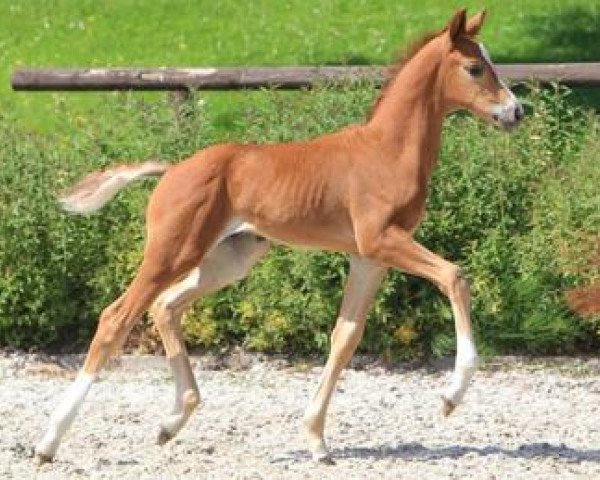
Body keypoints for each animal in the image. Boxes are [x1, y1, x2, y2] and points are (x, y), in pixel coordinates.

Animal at [38, 8, 524, 464]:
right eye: (475, 68)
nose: (515, 111)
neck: (386, 151)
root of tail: (172, 170)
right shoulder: (381, 240)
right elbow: (455, 277)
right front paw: (451, 397)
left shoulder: (368, 258)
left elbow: (345, 338)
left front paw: (317, 441)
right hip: (172, 252)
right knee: (116, 318)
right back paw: (48, 442)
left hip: (227, 259)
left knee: (166, 307)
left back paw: (171, 422)